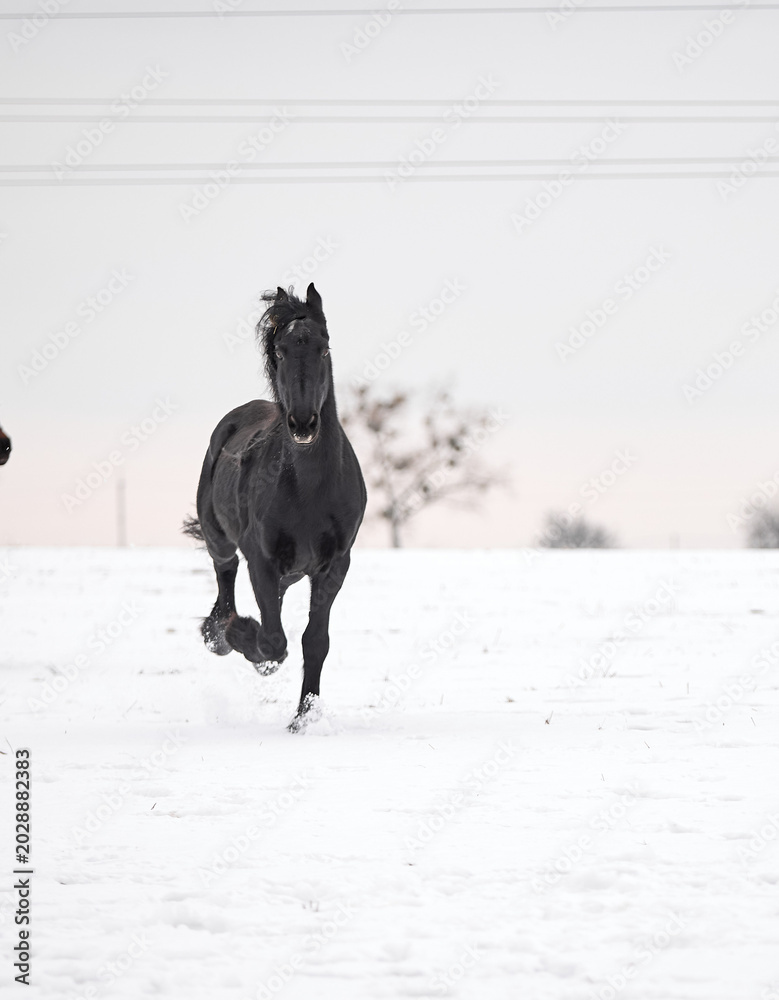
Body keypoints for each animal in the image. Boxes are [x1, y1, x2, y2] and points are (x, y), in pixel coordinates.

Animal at [184, 283, 366, 731]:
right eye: (281, 352)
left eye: (323, 347)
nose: (302, 423)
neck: (310, 489)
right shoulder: (262, 560)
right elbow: (273, 640)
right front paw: (240, 637)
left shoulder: (334, 565)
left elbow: (314, 641)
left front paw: (303, 718)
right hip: (221, 541)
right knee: (225, 577)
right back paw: (220, 634)